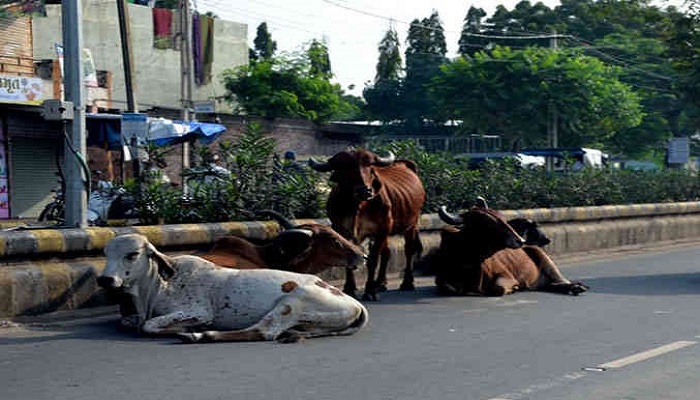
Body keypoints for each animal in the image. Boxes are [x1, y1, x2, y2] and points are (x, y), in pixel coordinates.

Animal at [100, 234, 372, 344]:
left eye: (132, 255)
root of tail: (356, 304)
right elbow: (134, 323)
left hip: (292, 303)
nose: (105, 280)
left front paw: (188, 328)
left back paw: (199, 335)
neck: (159, 284)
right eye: (105, 253)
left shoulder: (199, 310)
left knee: (263, 331)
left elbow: (148, 325)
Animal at [310, 149, 426, 300]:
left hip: (411, 225)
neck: (358, 207)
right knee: (387, 253)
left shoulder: (382, 230)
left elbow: (372, 260)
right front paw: (349, 288)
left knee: (408, 251)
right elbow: (349, 259)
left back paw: (407, 283)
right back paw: (381, 283)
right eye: (344, 167)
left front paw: (369, 291)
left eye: (370, 167)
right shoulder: (340, 230)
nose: (364, 190)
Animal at [434, 203, 588, 296]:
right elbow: (448, 287)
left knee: (562, 281)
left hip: (546, 261)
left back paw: (577, 287)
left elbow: (499, 288)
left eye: (501, 218)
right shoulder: (441, 280)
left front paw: (514, 288)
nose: (519, 240)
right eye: (487, 223)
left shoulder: (506, 276)